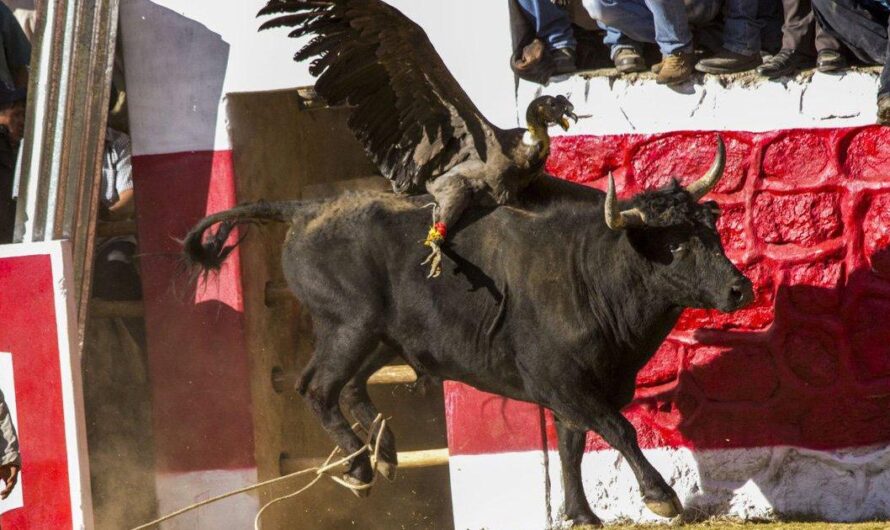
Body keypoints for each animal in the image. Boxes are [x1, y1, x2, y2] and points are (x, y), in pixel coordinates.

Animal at [184, 153, 752, 524]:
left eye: (710, 230)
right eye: (674, 244)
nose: (739, 288)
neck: (592, 272)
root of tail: (306, 211)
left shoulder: (578, 391)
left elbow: (572, 446)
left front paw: (581, 514)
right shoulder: (564, 383)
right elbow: (619, 430)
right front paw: (661, 496)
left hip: (382, 339)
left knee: (352, 388)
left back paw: (385, 455)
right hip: (349, 327)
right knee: (318, 389)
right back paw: (361, 466)